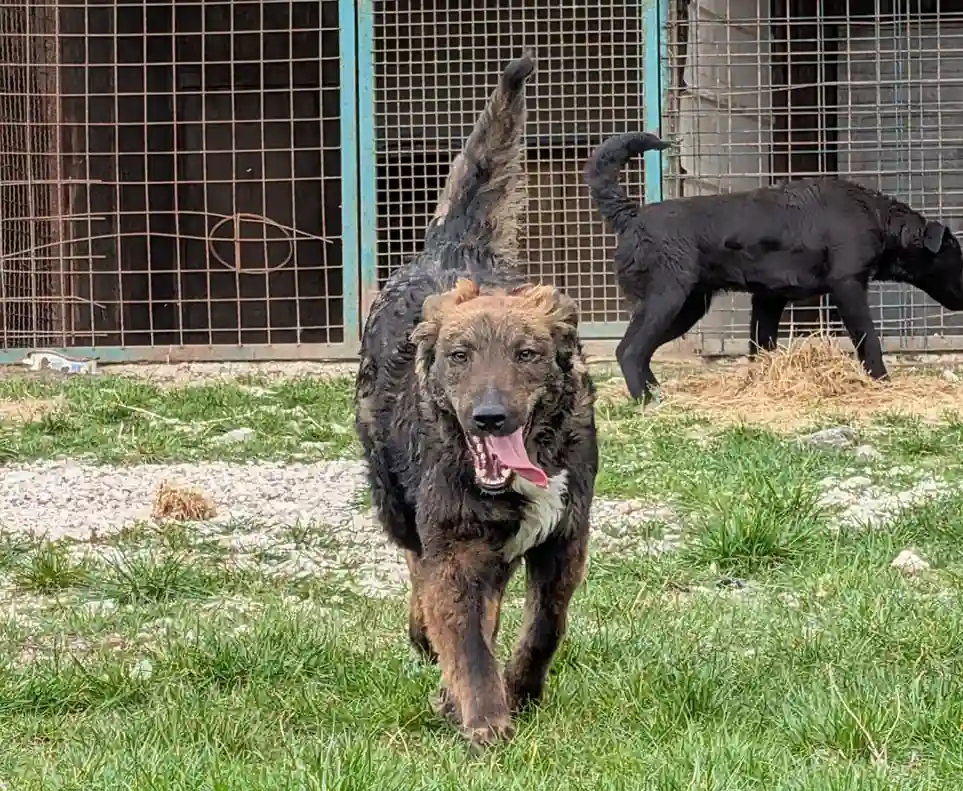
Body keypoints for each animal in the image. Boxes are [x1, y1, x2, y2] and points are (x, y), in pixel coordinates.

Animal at [354, 54, 598, 748]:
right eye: (460, 356)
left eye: (527, 354)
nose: (490, 418)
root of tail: (453, 249)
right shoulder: (457, 547)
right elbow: (465, 639)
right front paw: (486, 718)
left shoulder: (565, 538)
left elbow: (544, 627)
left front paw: (522, 689)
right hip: (393, 498)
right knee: (417, 566)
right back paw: (427, 647)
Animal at [584, 132, 963, 402]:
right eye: (955, 253)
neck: (876, 217)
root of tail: (632, 216)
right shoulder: (849, 287)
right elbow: (868, 340)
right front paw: (882, 381)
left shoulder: (768, 298)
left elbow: (762, 346)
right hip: (668, 300)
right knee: (630, 352)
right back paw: (649, 402)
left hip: (685, 308)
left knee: (635, 352)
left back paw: (657, 394)